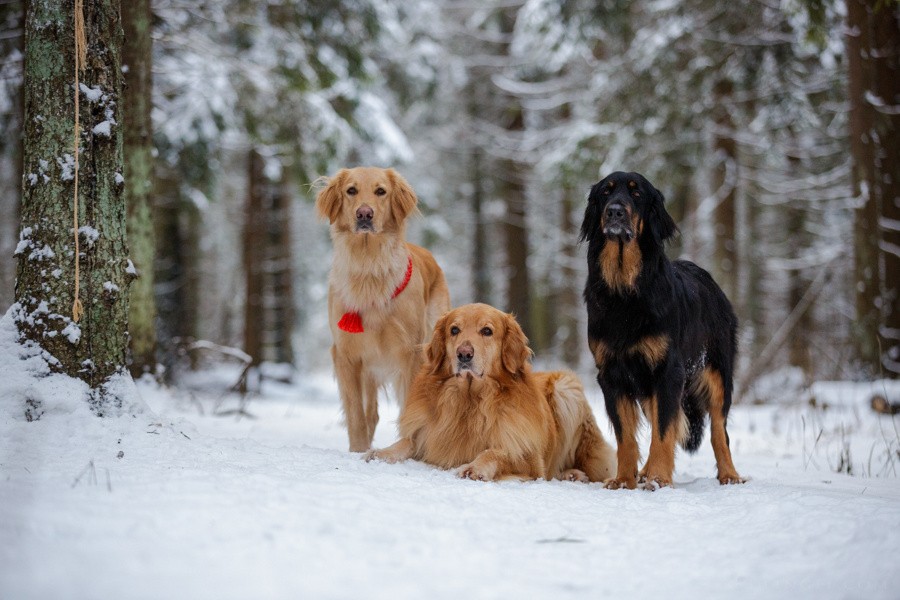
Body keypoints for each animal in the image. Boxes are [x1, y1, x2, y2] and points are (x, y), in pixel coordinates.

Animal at [580, 169, 740, 488]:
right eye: (606, 192)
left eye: (636, 193)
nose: (614, 211)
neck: (624, 290)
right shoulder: (612, 374)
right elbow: (626, 436)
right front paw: (625, 479)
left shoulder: (668, 371)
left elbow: (664, 431)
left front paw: (658, 478)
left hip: (717, 373)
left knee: (719, 430)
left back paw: (729, 473)